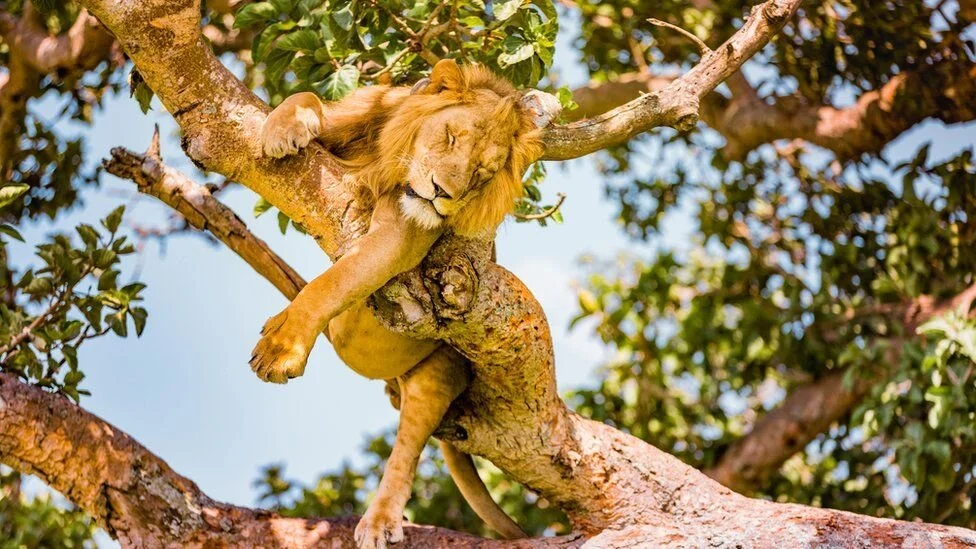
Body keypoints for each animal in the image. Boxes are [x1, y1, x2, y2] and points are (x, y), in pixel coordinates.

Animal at [249, 59, 560, 548]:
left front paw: (282, 348)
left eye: (483, 172)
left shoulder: (406, 230)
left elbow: (338, 280)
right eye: (451, 136)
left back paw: (380, 521)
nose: (442, 193)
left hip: (439, 375)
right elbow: (309, 98)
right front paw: (282, 127)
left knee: (407, 450)